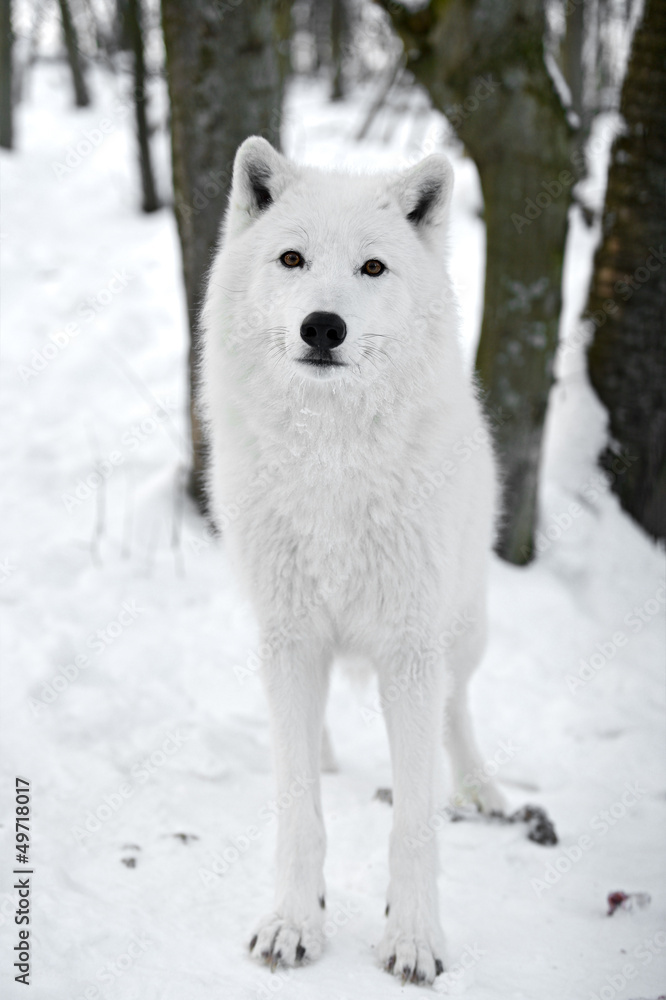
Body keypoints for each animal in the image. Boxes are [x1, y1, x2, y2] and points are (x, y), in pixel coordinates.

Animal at [200, 136, 505, 985]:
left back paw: (480, 788)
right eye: (292, 259)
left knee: (457, 707)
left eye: (372, 268)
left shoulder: (409, 650)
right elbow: (298, 805)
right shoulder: (291, 638)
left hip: (461, 629)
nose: (323, 327)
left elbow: (413, 822)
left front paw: (415, 939)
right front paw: (293, 923)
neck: (330, 465)